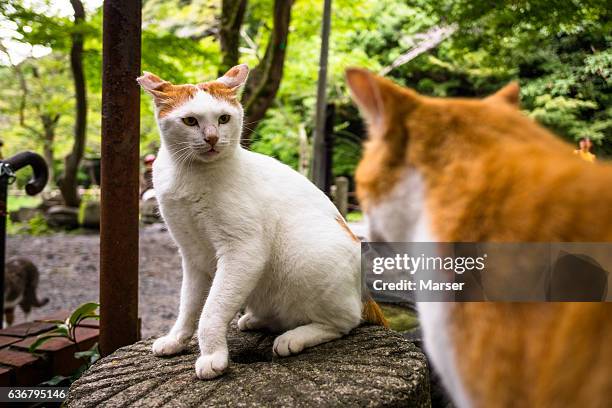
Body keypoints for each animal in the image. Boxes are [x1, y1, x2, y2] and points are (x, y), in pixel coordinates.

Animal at [139, 63, 388, 380]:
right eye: (190, 121)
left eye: (223, 118)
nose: (211, 138)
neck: (188, 176)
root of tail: (364, 293)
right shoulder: (192, 255)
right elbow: (189, 306)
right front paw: (176, 339)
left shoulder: (243, 251)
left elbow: (211, 310)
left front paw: (212, 356)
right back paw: (256, 320)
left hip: (308, 257)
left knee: (345, 321)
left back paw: (293, 337)